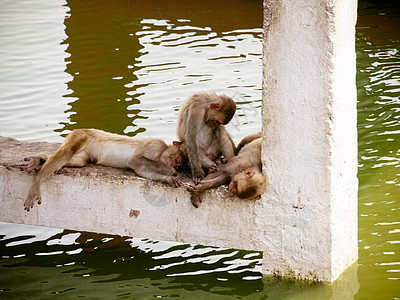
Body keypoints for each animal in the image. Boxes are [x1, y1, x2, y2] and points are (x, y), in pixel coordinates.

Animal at [20, 128, 184, 211]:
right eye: (177, 161)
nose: (174, 166)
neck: (160, 153)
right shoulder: (154, 144)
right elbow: (134, 161)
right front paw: (169, 172)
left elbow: (140, 170)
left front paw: (169, 178)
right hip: (80, 135)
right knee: (67, 152)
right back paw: (38, 178)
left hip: (85, 151)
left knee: (80, 160)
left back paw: (41, 159)